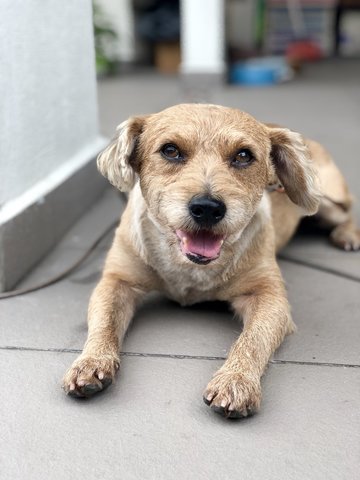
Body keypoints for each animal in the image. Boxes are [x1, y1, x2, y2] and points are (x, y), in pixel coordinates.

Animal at [62, 104, 360, 416]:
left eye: (243, 156)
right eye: (170, 150)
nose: (207, 208)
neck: (189, 266)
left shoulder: (270, 297)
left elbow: (253, 339)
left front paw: (237, 380)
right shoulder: (116, 282)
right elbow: (104, 324)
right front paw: (92, 360)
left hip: (325, 200)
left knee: (347, 212)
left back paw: (347, 235)